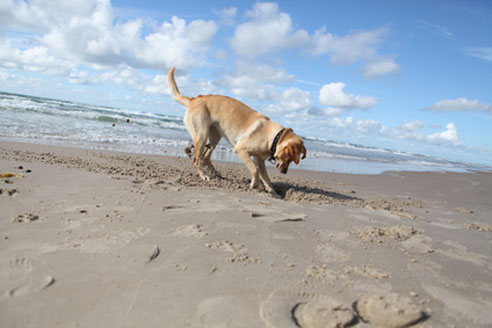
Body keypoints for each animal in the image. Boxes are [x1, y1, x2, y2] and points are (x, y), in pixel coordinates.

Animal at [167, 65, 306, 196]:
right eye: (289, 159)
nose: (284, 172)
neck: (273, 138)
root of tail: (193, 99)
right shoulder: (241, 150)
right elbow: (255, 170)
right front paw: (254, 185)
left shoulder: (260, 161)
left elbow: (266, 178)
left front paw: (273, 192)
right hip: (202, 135)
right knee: (196, 159)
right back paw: (203, 175)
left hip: (214, 137)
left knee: (205, 157)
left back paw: (215, 173)